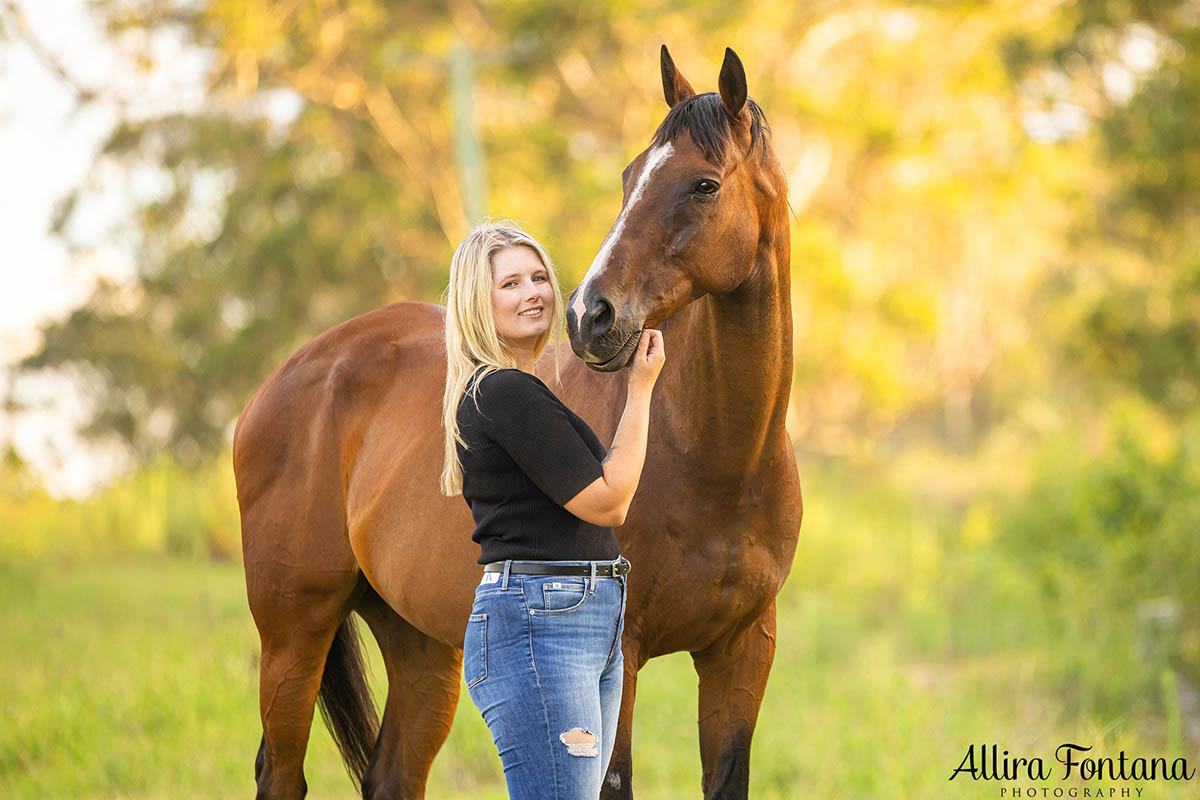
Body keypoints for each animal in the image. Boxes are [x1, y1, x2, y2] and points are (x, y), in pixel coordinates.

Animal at [231, 47, 806, 796]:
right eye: (630, 177)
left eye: (704, 185)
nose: (591, 314)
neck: (717, 460)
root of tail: (289, 375)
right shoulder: (619, 651)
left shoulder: (742, 649)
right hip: (294, 629)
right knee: (281, 771)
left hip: (421, 644)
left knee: (391, 773)